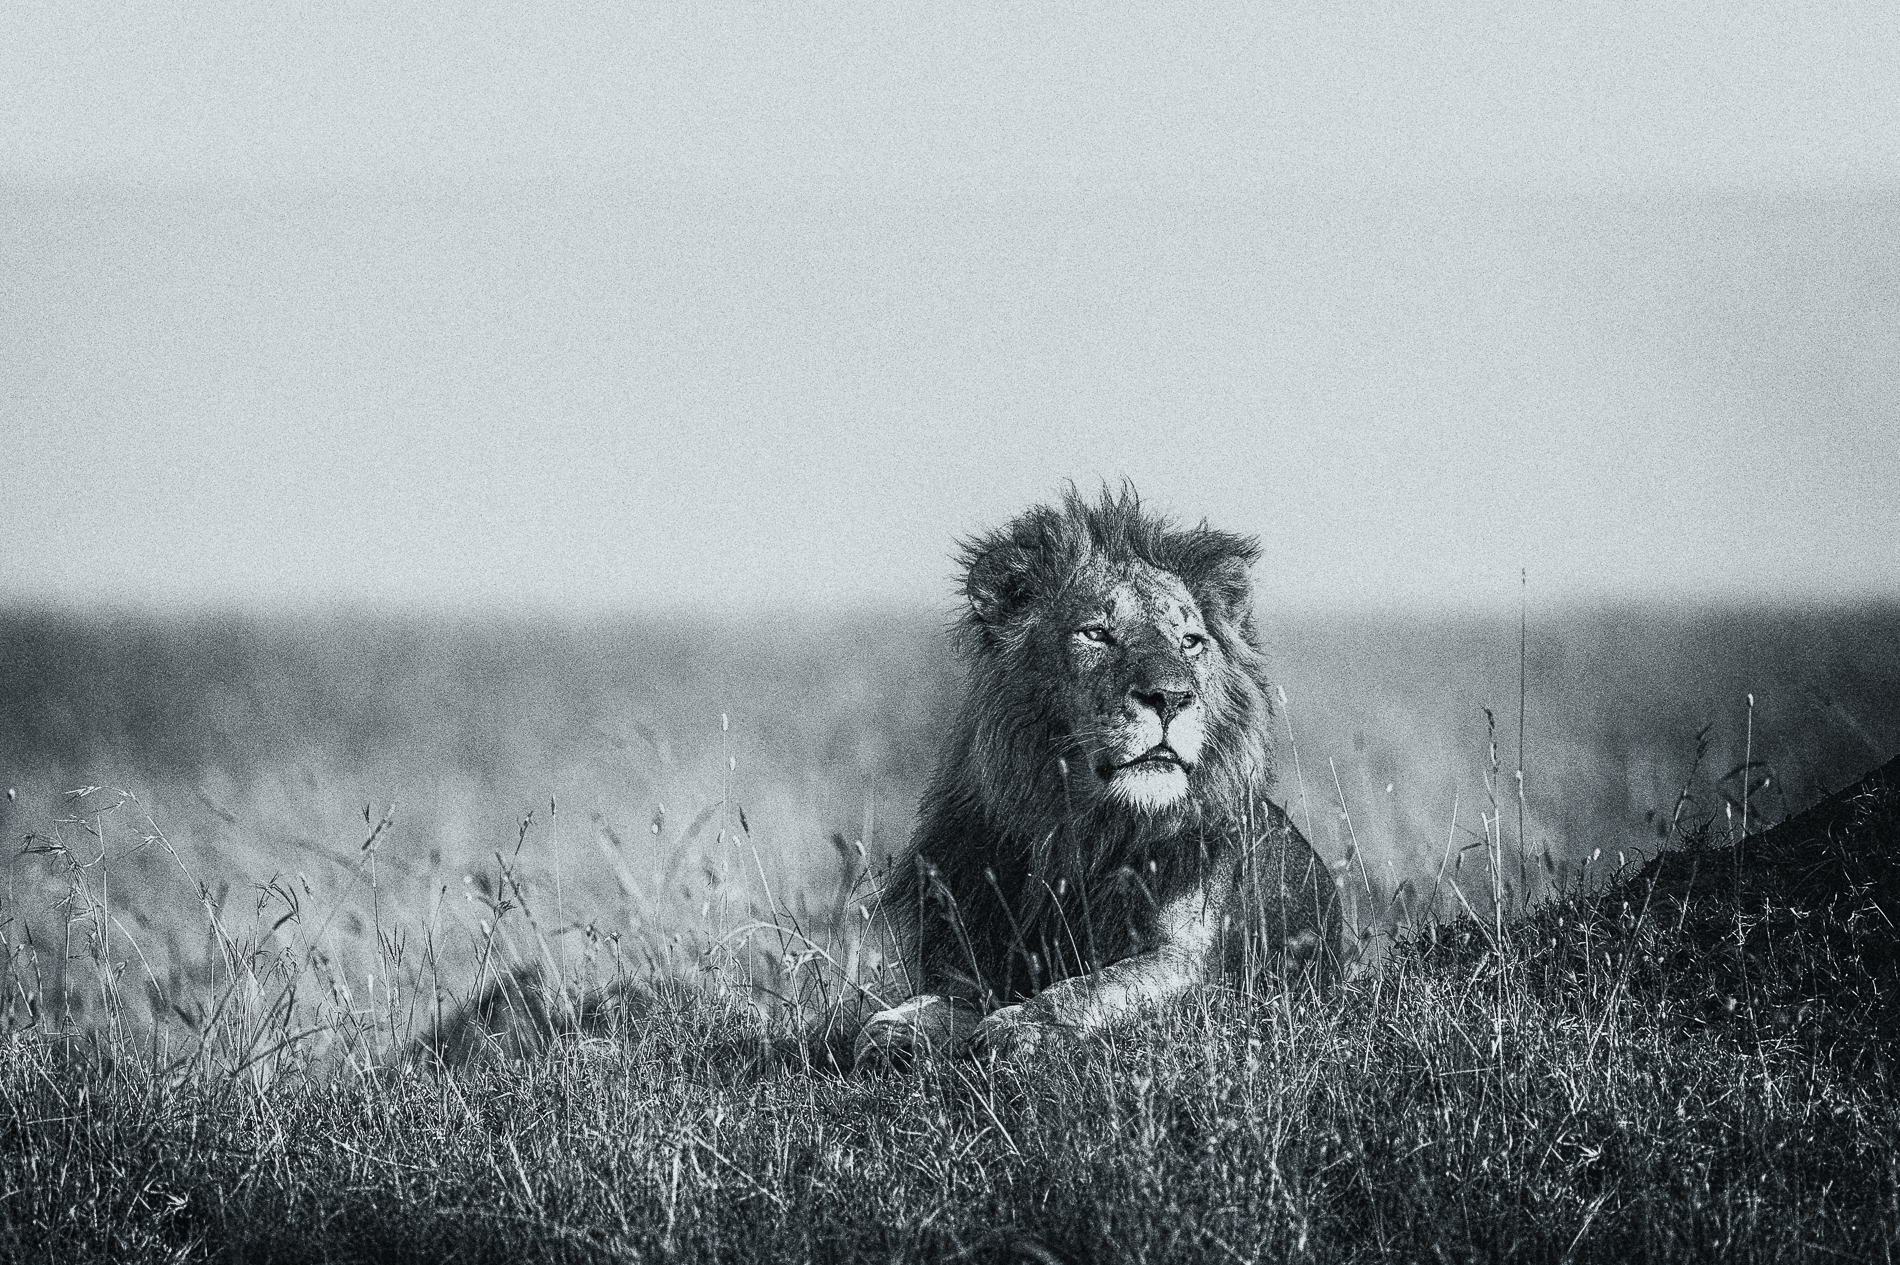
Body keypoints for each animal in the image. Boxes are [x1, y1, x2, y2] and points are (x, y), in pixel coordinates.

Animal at [852, 487, 1346, 1070]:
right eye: (1096, 634)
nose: (1170, 698)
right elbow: (907, 1011)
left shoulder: (1194, 966)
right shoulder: (967, 954)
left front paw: (1021, 1026)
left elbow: (1094, 988)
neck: (1079, 835)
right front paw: (897, 1032)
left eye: (1191, 641)